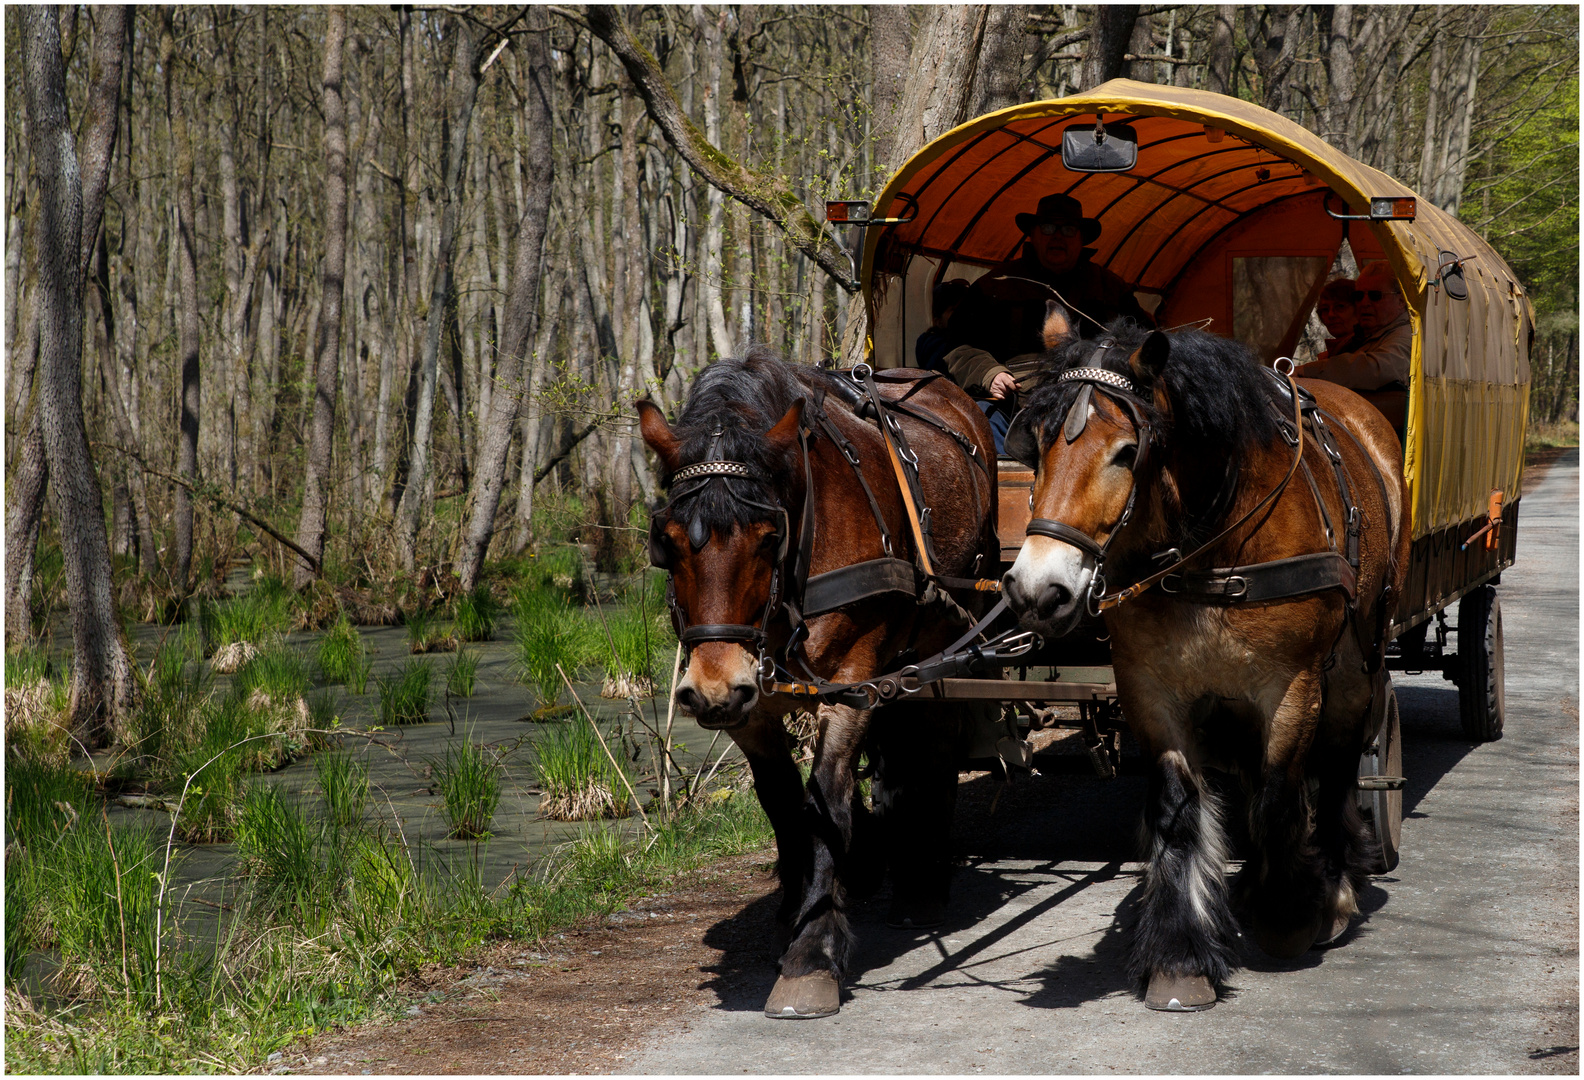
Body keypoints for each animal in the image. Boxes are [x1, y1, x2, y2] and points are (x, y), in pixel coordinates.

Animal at [636, 346, 994, 1019]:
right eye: (665, 541)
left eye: (768, 536)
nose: (712, 689)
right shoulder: (753, 705)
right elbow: (782, 802)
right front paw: (799, 905)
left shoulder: (852, 679)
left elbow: (825, 799)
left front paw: (812, 954)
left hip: (946, 633)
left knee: (936, 741)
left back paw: (923, 882)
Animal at [1001, 308, 1412, 1007]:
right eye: (1038, 446)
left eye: (1126, 452)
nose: (1037, 590)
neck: (1211, 545)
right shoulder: (1150, 687)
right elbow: (1177, 804)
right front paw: (1180, 955)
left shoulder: (1292, 684)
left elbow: (1278, 794)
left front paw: (1285, 914)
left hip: (1357, 663)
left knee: (1336, 763)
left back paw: (1334, 887)